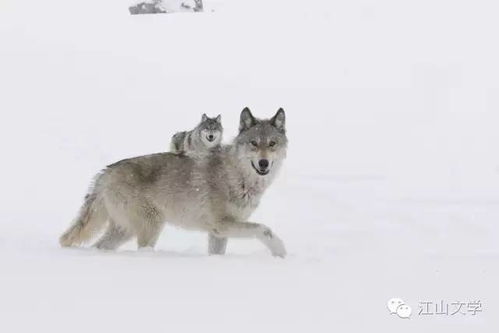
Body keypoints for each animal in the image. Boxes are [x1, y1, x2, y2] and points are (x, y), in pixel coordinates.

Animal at [60, 107, 290, 255]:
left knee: (99, 246)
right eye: (254, 143)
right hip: (151, 225)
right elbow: (265, 229)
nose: (263, 163)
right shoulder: (221, 225)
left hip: (124, 230)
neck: (238, 175)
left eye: (272, 143)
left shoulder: (218, 233)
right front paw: (280, 252)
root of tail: (105, 173)